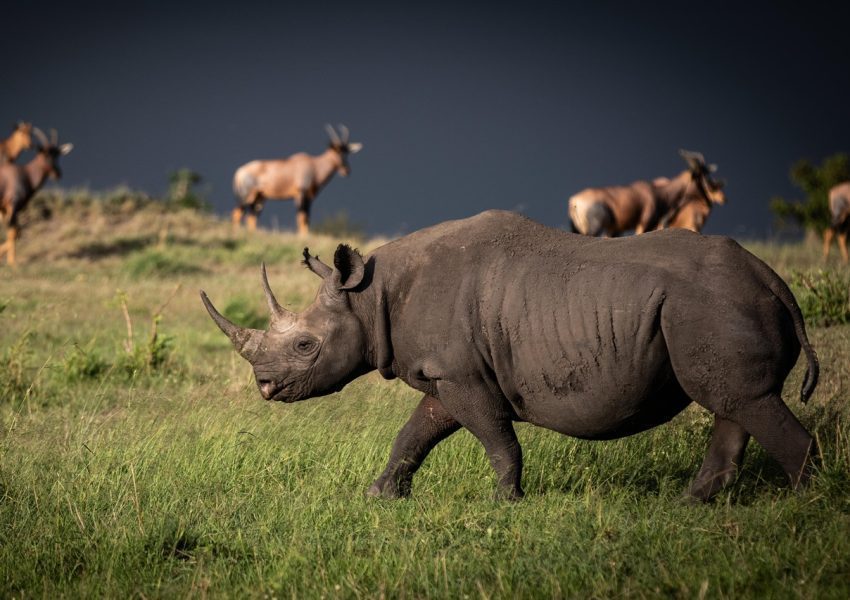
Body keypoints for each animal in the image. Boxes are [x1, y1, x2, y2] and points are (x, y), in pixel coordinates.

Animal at [0, 127, 71, 266]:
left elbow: (17, 232)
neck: (25, 174)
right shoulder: (12, 206)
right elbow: (13, 232)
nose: (57, 174)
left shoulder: (9, 209)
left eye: (57, 154)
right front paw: (12, 263)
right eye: (44, 154)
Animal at [232, 125, 362, 237]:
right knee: (237, 213)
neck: (313, 165)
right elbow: (301, 217)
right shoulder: (300, 194)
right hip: (246, 196)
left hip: (260, 198)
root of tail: (240, 171)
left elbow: (307, 218)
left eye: (347, 152)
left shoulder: (309, 198)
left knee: (251, 217)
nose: (346, 170)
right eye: (336, 151)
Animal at [568, 151, 724, 236]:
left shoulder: (615, 229)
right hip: (593, 227)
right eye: (703, 176)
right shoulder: (644, 224)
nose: (708, 200)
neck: (656, 193)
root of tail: (574, 200)